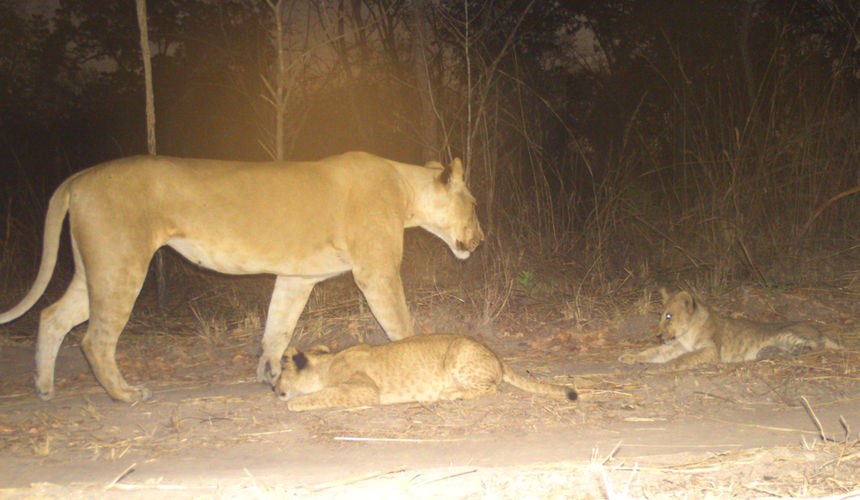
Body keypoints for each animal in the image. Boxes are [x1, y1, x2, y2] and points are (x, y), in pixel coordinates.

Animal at [0, 152, 483, 402]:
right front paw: (416, 359)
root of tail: (79, 177)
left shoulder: (296, 276)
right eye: (475, 204)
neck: (405, 189)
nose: (481, 240)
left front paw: (269, 374)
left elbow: (277, 326)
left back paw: (44, 387)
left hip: (95, 269)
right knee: (94, 339)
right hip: (122, 263)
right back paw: (126, 394)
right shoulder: (375, 270)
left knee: (52, 317)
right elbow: (400, 323)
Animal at [275, 334, 578, 411]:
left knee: (492, 388)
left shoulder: (366, 390)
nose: (273, 389)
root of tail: (497, 356)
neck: (328, 362)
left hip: (458, 353)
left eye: (280, 373)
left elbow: (325, 395)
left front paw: (294, 403)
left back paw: (450, 393)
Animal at [618, 288, 841, 369]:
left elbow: (686, 357)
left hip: (788, 333)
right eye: (661, 315)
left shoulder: (710, 350)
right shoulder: (676, 346)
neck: (687, 333)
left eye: (669, 316)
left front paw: (671, 365)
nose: (657, 334)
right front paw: (628, 357)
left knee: (814, 347)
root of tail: (821, 330)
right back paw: (767, 352)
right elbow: (652, 352)